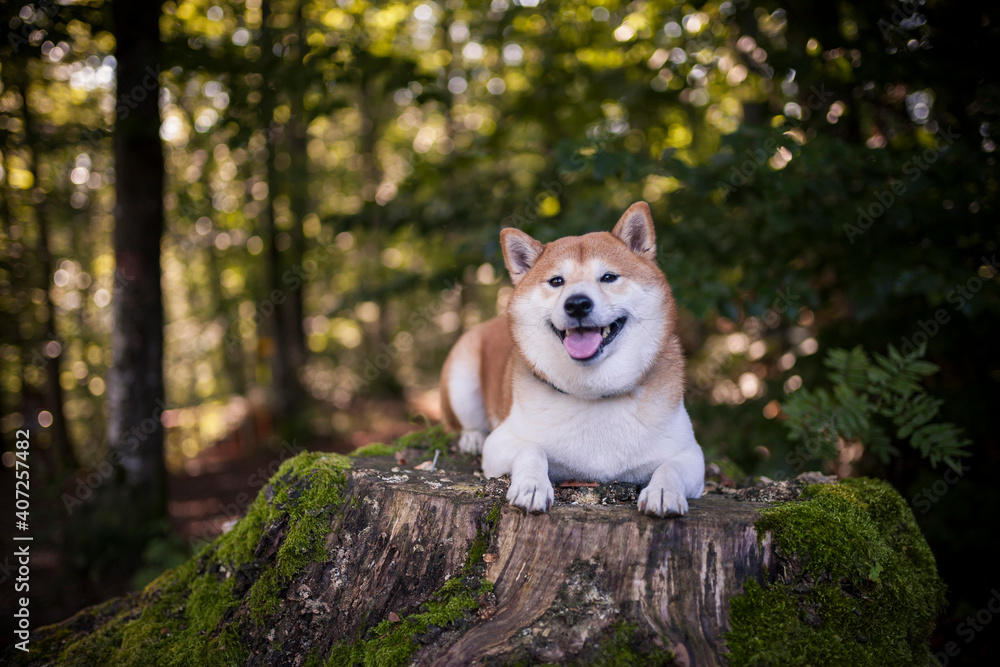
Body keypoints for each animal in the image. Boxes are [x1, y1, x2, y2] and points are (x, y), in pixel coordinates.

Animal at [442, 202, 708, 516]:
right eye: (556, 281)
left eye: (609, 277)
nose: (577, 303)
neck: (594, 393)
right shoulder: (501, 442)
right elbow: (532, 449)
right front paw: (532, 485)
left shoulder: (690, 453)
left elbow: (671, 467)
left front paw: (664, 491)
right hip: (462, 377)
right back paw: (471, 437)